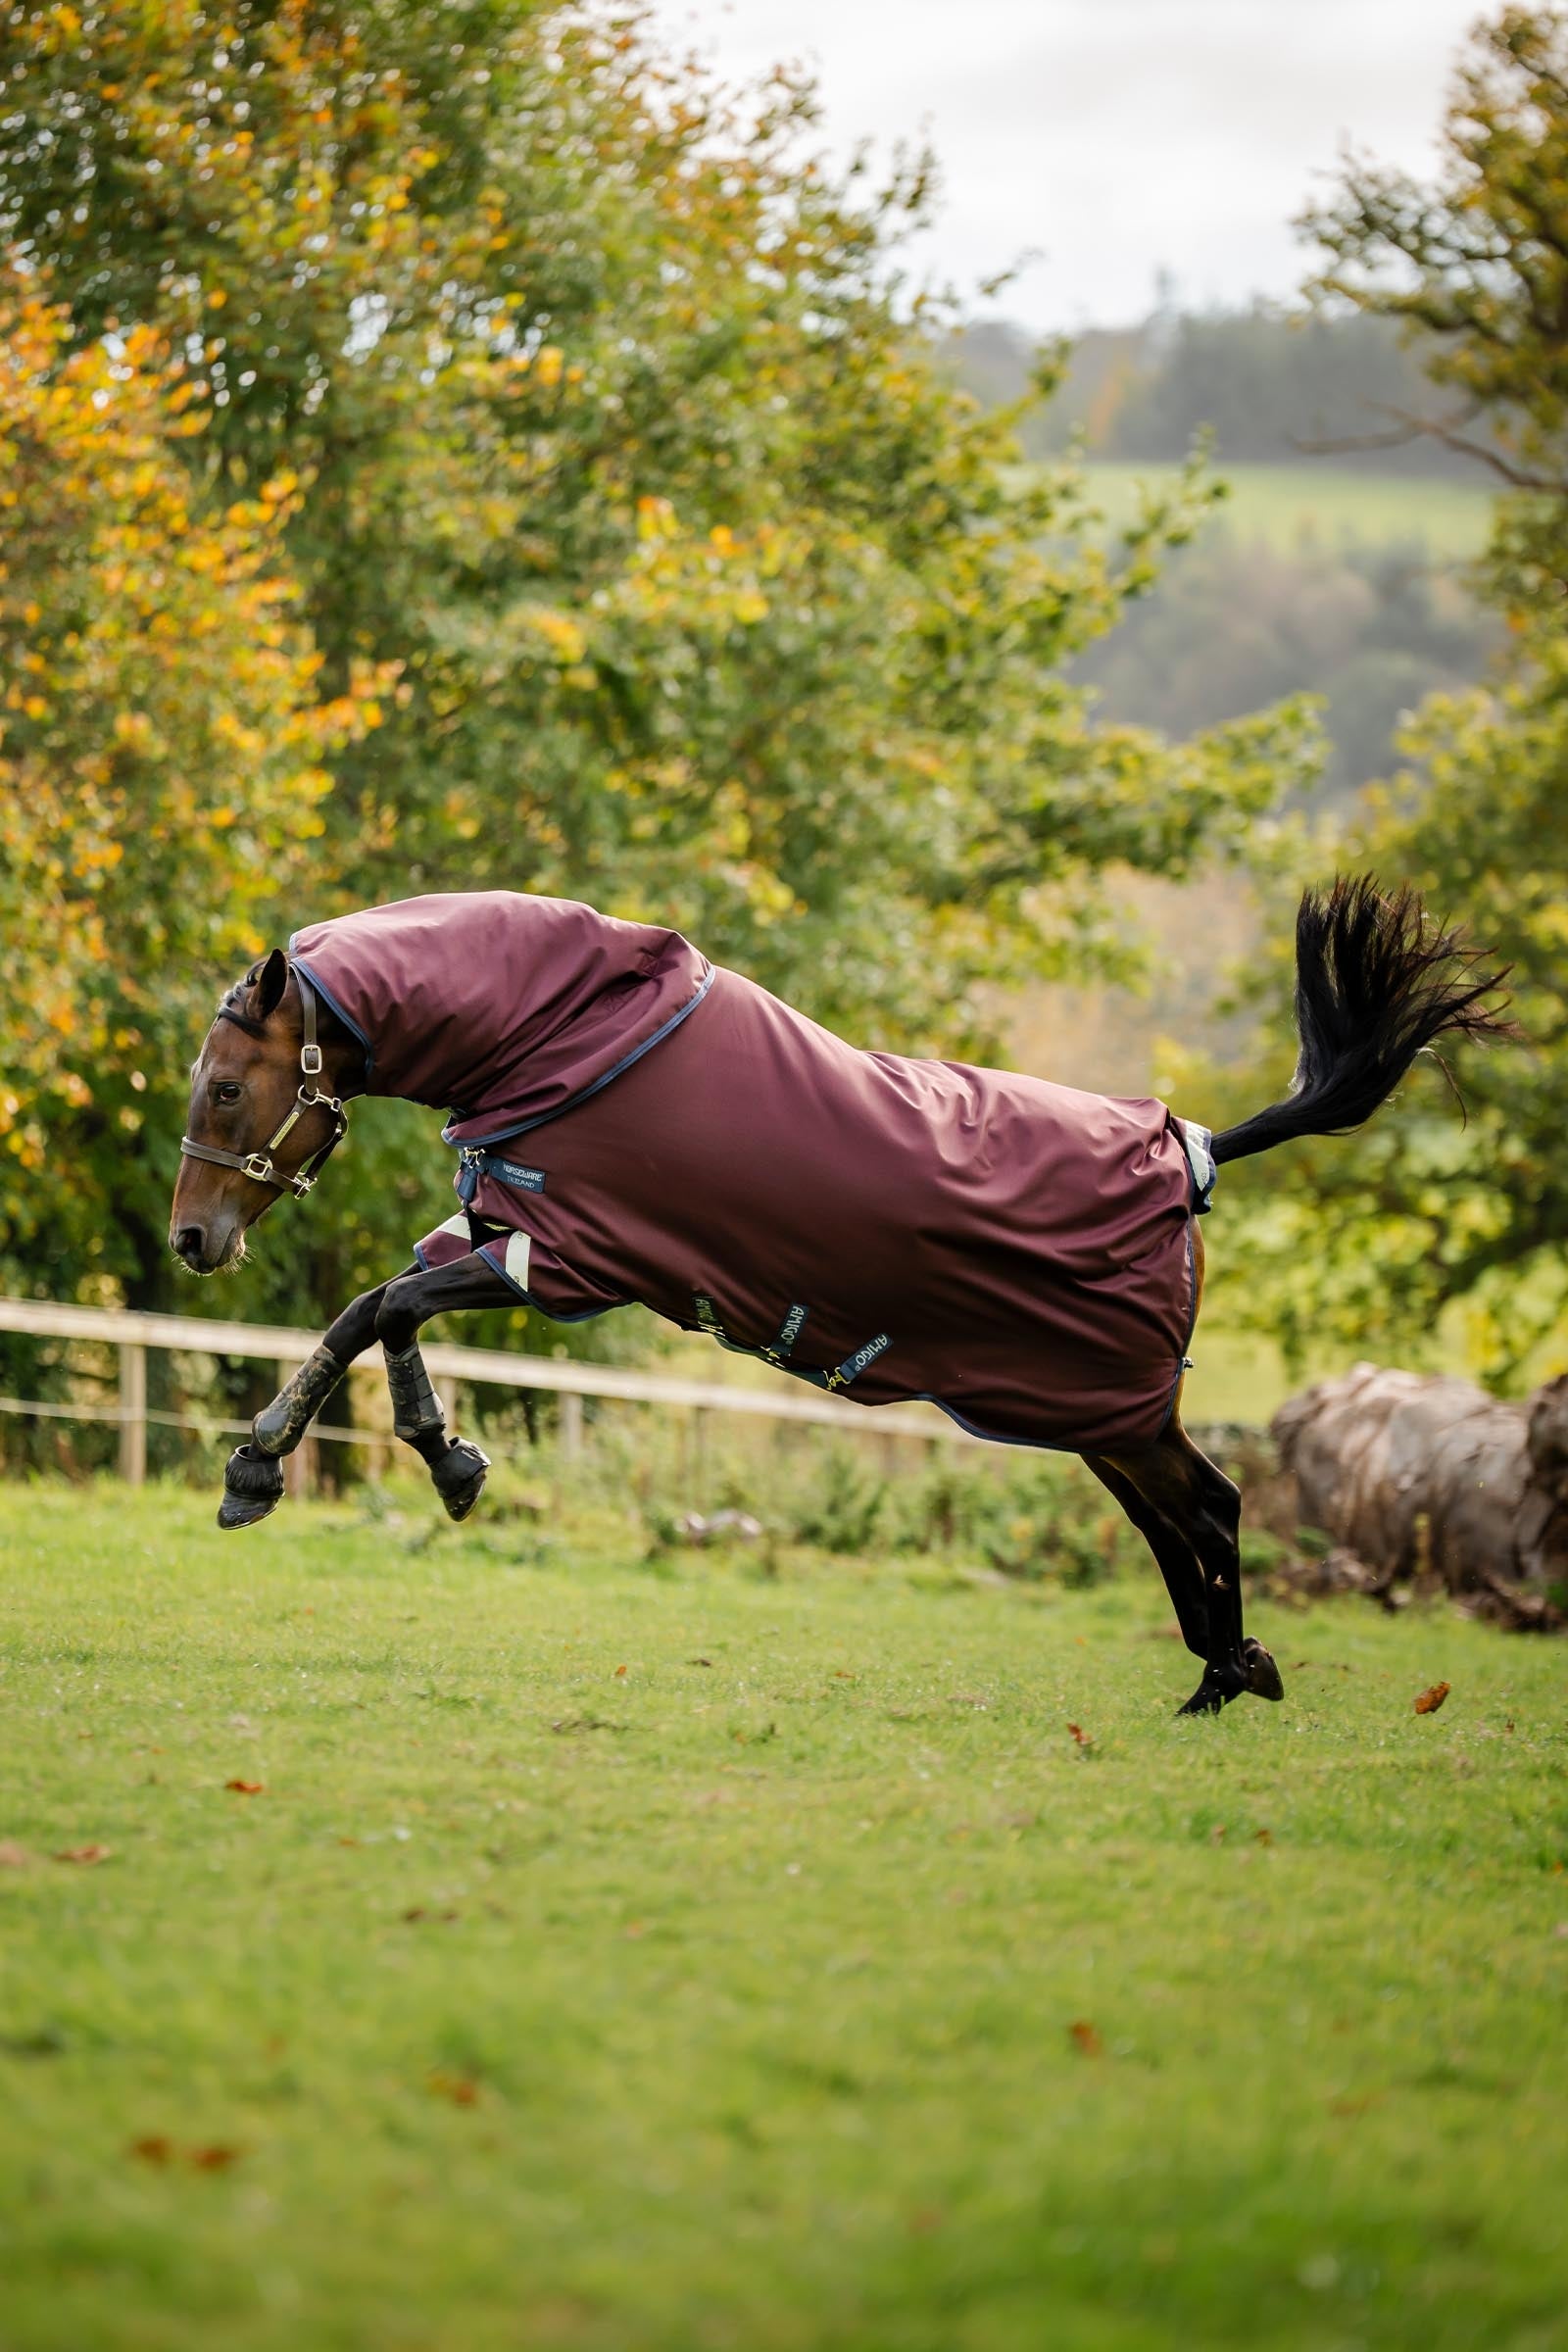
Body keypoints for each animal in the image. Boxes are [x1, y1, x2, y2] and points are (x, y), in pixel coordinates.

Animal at [168, 877, 1509, 1717]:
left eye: (227, 1088)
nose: (191, 1238)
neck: (564, 1033)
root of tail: (1194, 1155)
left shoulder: (569, 1259)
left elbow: (383, 1311)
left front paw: (392, 1464)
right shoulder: (505, 1231)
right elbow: (369, 1310)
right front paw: (309, 1465)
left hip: (1109, 1410)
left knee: (1213, 1511)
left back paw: (1220, 1680)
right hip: (1097, 1416)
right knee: (1180, 1517)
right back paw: (1226, 1672)